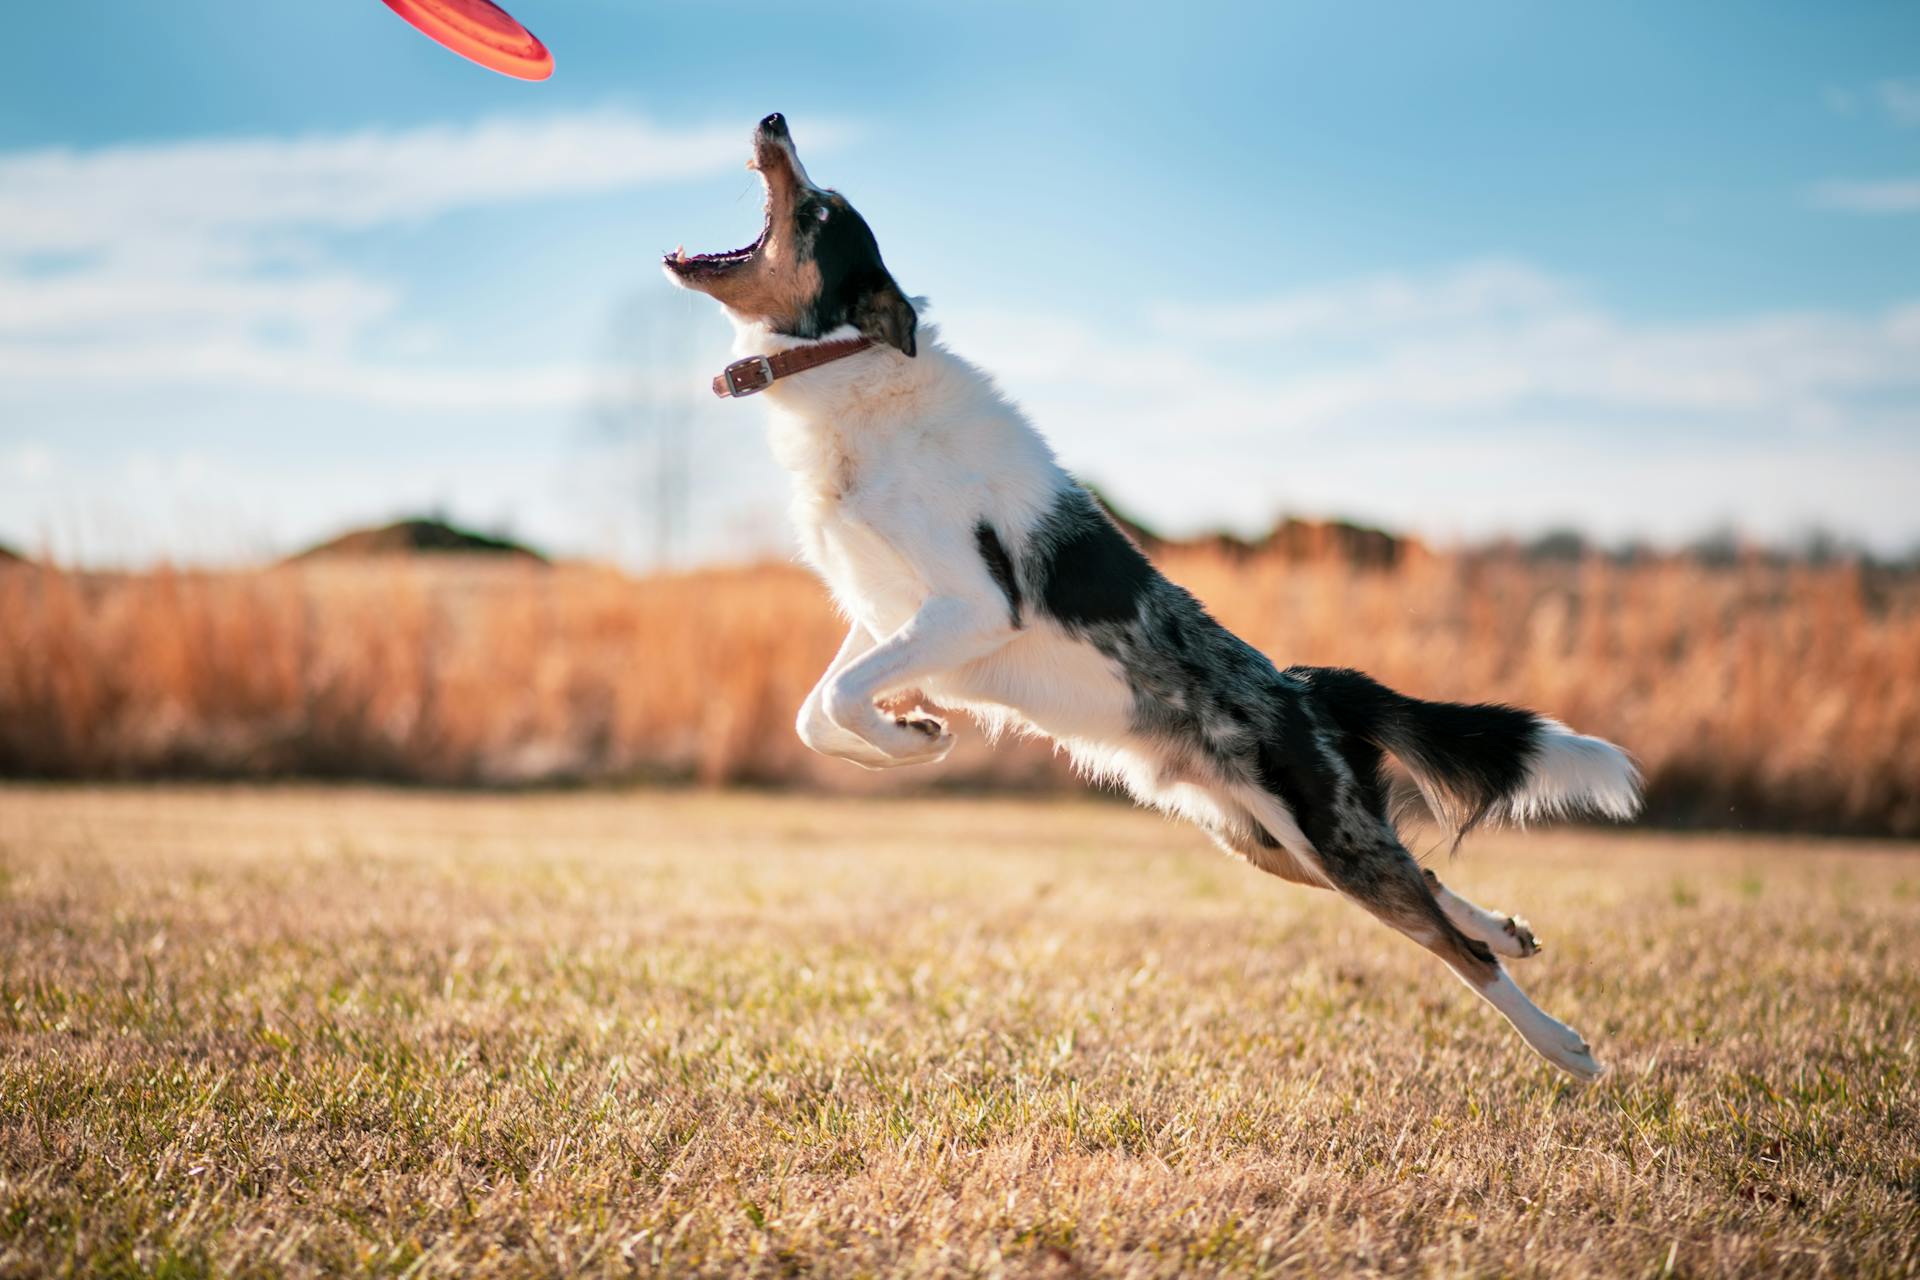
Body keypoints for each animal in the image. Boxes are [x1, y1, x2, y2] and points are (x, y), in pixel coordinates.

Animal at [668, 117, 1643, 1082]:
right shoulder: (884, 611)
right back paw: (1507, 932)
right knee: (1431, 885)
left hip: (1323, 837)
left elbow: (836, 697)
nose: (774, 120)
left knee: (1448, 942)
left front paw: (915, 737)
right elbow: (818, 712)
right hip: (1265, 842)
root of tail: (1306, 687)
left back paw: (1561, 1042)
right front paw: (907, 732)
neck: (844, 368)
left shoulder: (972, 605)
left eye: (821, 209)